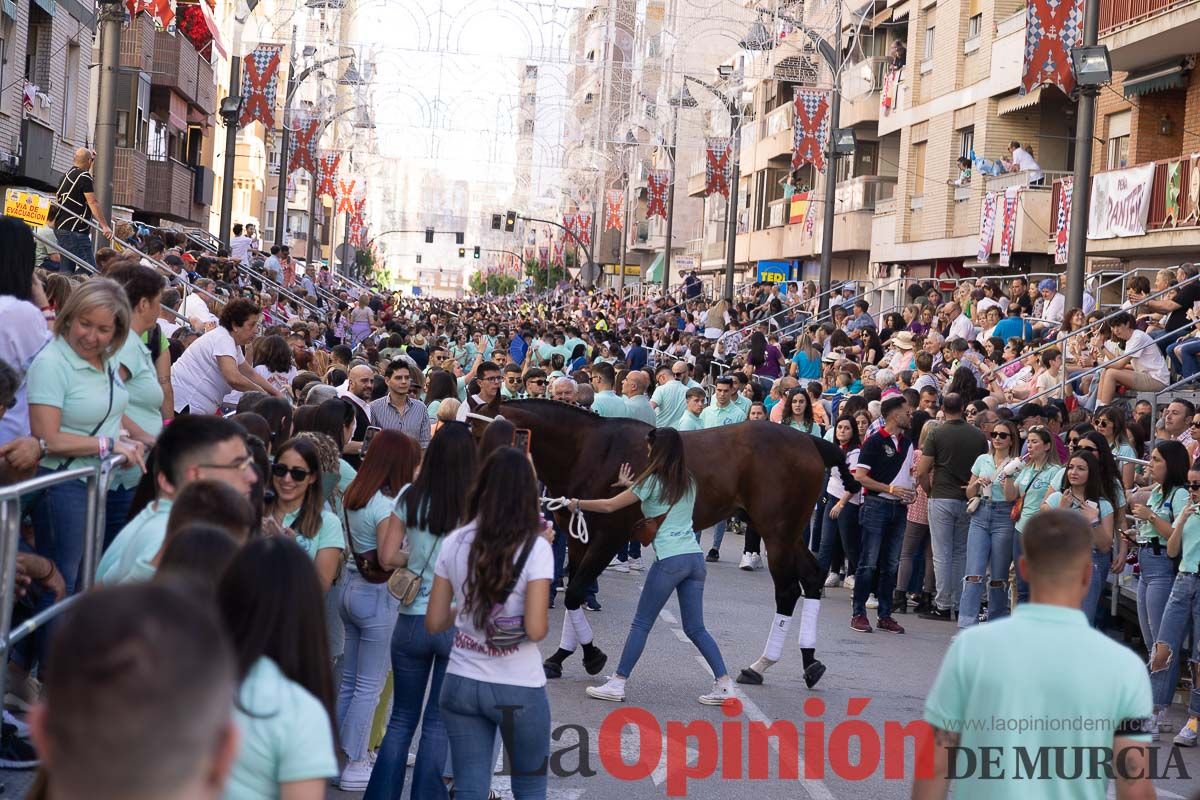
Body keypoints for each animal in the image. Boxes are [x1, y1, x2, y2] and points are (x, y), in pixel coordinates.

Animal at [472, 398, 859, 690]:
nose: (477, 486)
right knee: (811, 578)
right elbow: (575, 593)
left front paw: (591, 656)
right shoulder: (580, 539)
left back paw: (762, 663)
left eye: (485, 433)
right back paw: (808, 663)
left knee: (788, 590)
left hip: (777, 532)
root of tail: (811, 442)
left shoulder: (608, 538)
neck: (590, 450)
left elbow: (576, 591)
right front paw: (560, 657)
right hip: (789, 533)